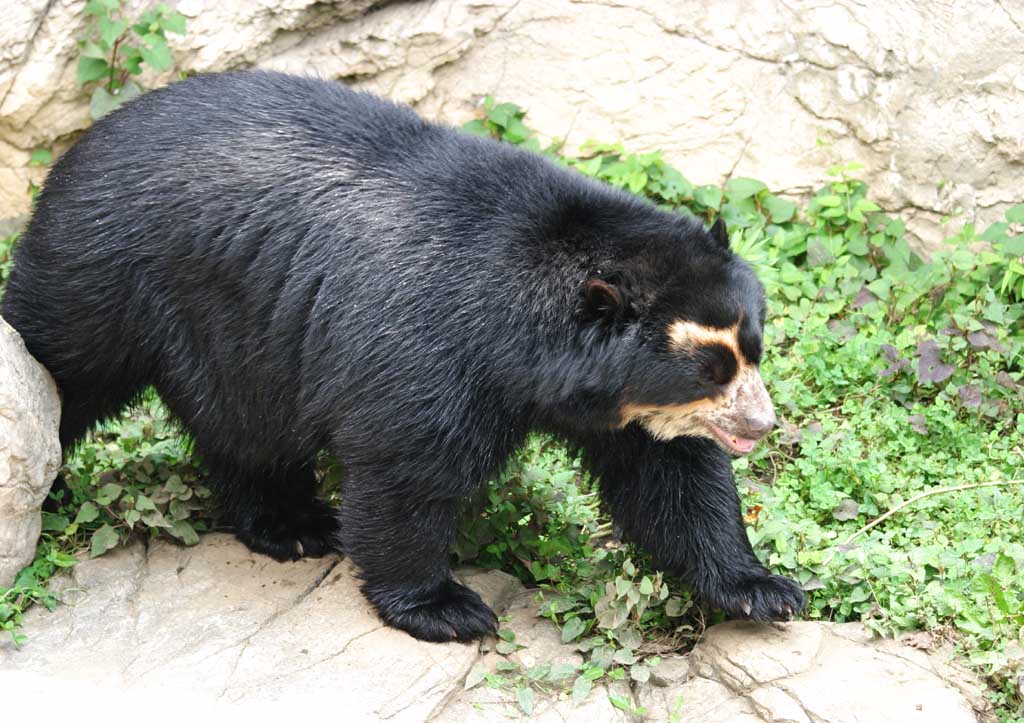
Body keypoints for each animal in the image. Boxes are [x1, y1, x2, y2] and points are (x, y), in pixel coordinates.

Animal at [2, 70, 806, 639]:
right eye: (709, 367)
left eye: (753, 349)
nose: (763, 425)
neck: (530, 340)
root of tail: (82, 144)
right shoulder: (430, 347)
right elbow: (406, 469)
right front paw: (445, 607)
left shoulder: (618, 406)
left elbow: (672, 478)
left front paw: (762, 590)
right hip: (104, 277)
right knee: (64, 367)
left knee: (245, 431)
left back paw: (292, 524)